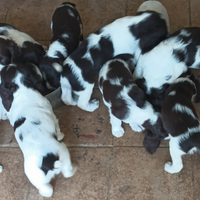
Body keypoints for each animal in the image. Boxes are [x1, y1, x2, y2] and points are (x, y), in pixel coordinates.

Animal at [0, 63, 76, 197]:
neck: (21, 89)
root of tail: (47, 163)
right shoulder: (52, 115)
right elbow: (57, 128)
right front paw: (61, 135)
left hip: (36, 178)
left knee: (47, 190)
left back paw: (45, 191)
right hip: (63, 152)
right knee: (67, 172)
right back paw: (73, 170)